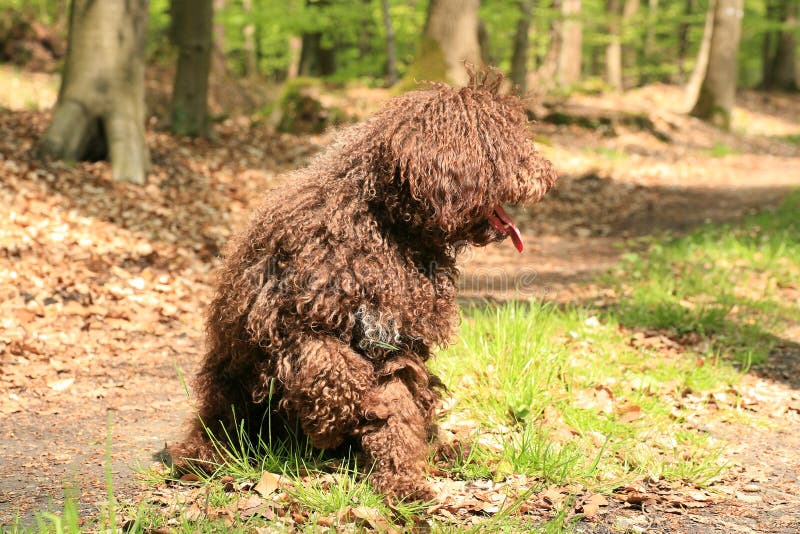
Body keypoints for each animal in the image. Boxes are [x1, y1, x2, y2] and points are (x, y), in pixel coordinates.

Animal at [170, 71, 556, 502]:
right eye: (504, 146)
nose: (548, 175)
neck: (387, 227)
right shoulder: (288, 323)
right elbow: (333, 370)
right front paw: (337, 422)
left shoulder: (395, 343)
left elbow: (396, 410)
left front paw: (403, 483)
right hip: (229, 390)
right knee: (220, 425)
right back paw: (201, 457)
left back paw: (445, 450)